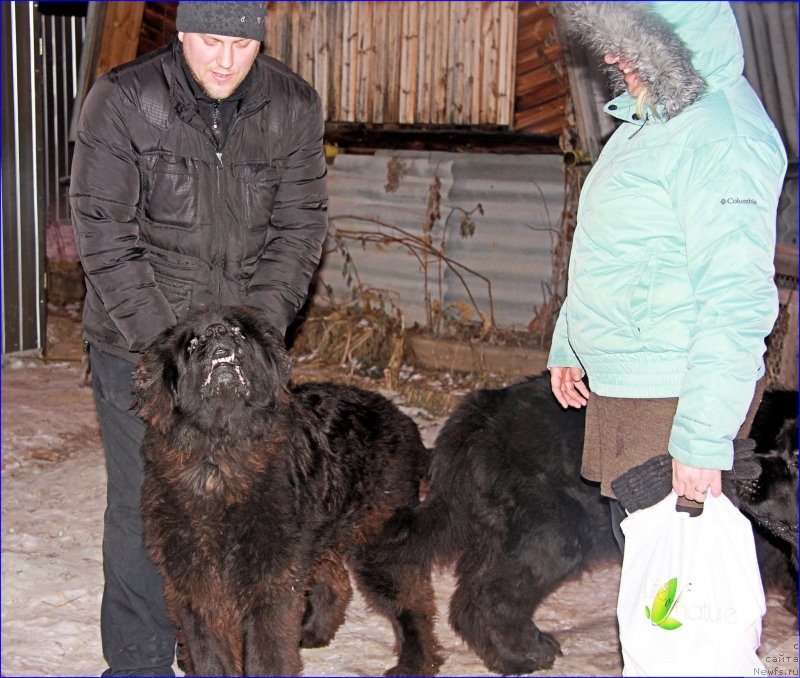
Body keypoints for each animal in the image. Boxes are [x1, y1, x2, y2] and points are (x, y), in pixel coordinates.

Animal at [133, 306, 444, 676]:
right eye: (191, 342)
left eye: (239, 331)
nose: (217, 330)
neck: (220, 457)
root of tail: (408, 425)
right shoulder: (195, 585)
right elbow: (209, 655)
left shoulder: (270, 582)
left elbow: (266, 654)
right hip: (321, 536)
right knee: (337, 582)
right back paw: (313, 632)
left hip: (377, 544)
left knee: (413, 604)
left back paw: (413, 663)